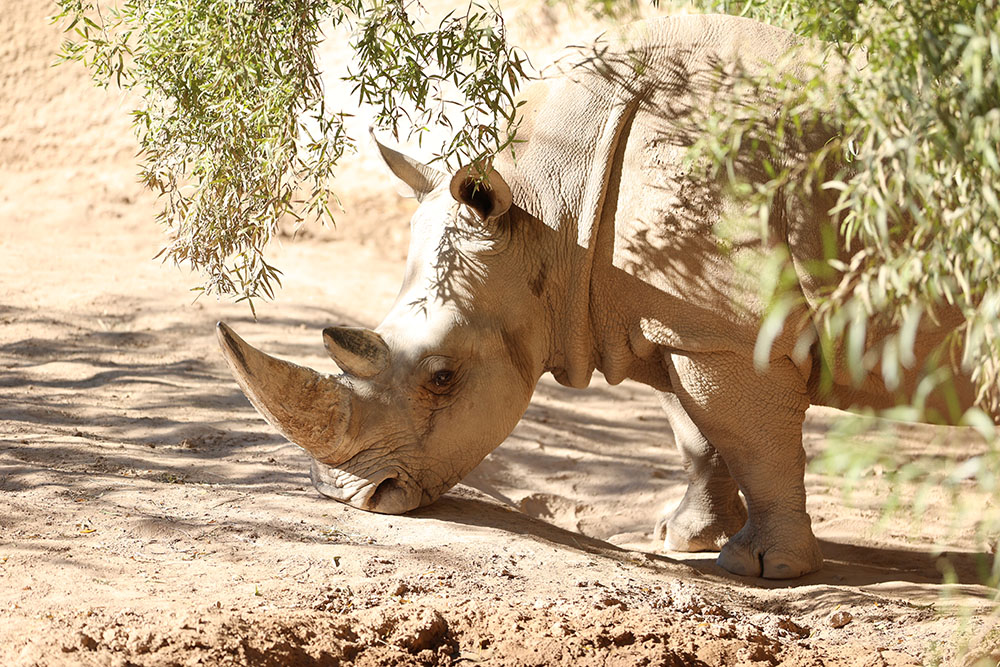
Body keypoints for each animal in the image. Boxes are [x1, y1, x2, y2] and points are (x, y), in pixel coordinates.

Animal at [217, 13, 984, 580]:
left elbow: (755, 442)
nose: (352, 498)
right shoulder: (681, 318)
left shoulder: (727, 329)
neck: (545, 211)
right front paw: (681, 537)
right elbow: (698, 432)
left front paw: (763, 569)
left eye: (442, 377)